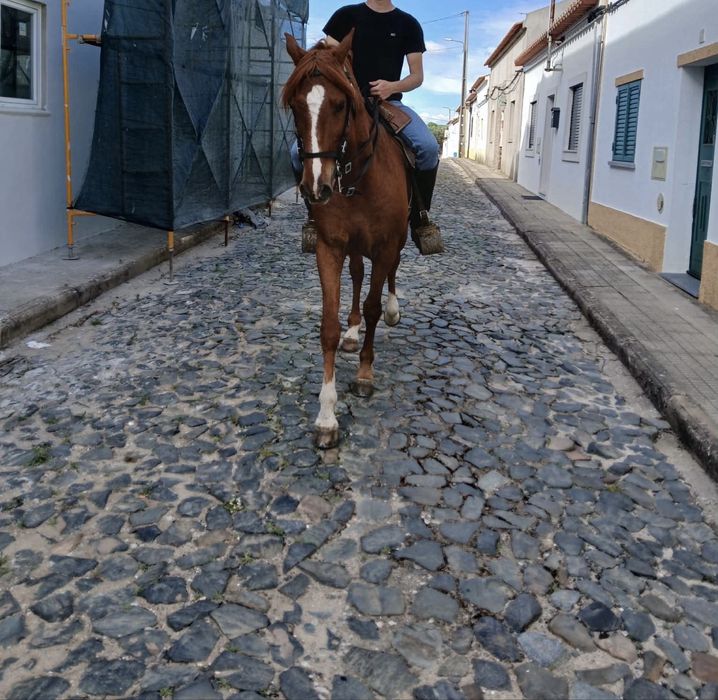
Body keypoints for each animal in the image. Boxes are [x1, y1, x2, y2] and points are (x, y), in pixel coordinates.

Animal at [283, 31, 410, 449]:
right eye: (295, 105)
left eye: (340, 105)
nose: (315, 187)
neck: (355, 176)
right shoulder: (330, 247)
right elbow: (329, 326)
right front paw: (326, 417)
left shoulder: (385, 245)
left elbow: (372, 307)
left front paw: (365, 375)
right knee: (356, 276)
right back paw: (353, 335)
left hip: (398, 239)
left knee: (389, 274)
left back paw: (392, 309)